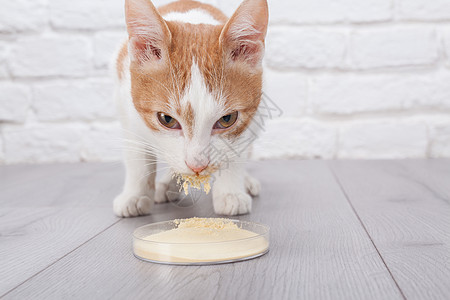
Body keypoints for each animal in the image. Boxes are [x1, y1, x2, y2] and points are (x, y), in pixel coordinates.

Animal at [113, 0, 268, 217]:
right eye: (166, 119)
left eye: (227, 119)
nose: (197, 165)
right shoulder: (126, 107)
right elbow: (137, 157)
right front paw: (135, 195)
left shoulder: (252, 114)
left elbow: (235, 149)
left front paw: (230, 193)